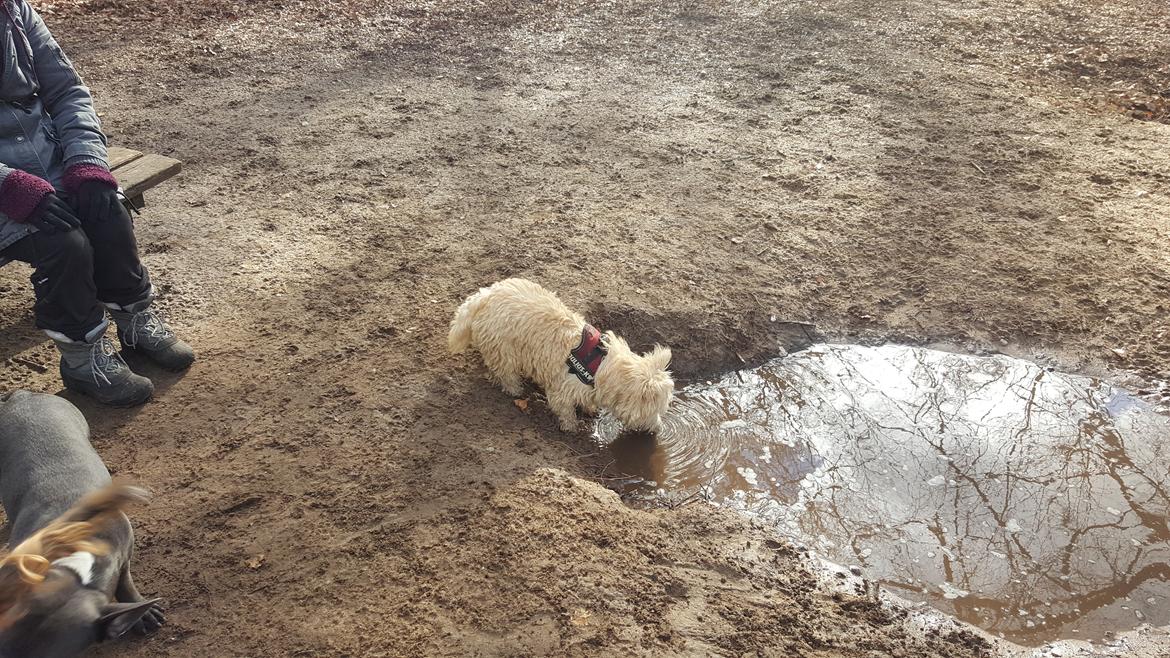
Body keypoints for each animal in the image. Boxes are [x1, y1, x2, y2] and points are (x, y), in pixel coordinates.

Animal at [449, 276, 678, 430]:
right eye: (656, 411)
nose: (659, 428)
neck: (599, 365)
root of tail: (484, 296)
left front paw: (590, 410)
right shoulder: (563, 389)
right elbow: (565, 410)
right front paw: (572, 427)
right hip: (504, 349)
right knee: (505, 372)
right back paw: (515, 389)